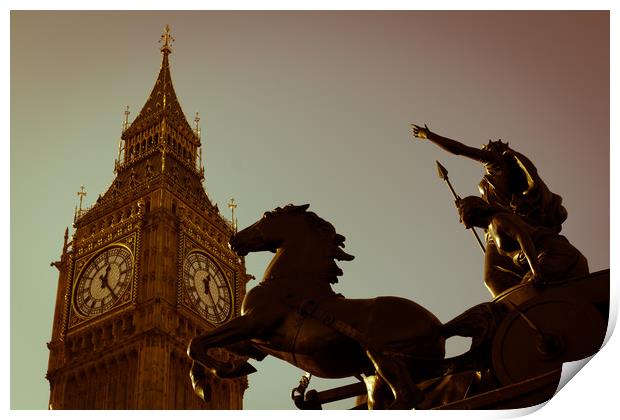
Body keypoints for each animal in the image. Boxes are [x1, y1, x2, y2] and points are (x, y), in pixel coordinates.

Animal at [188, 205, 446, 408]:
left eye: (267, 215)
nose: (234, 240)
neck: (290, 281)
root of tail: (439, 326)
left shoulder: (253, 323)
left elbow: (196, 343)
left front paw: (220, 372)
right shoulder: (257, 343)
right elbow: (202, 344)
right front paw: (220, 374)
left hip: (383, 354)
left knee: (409, 396)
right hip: (374, 373)